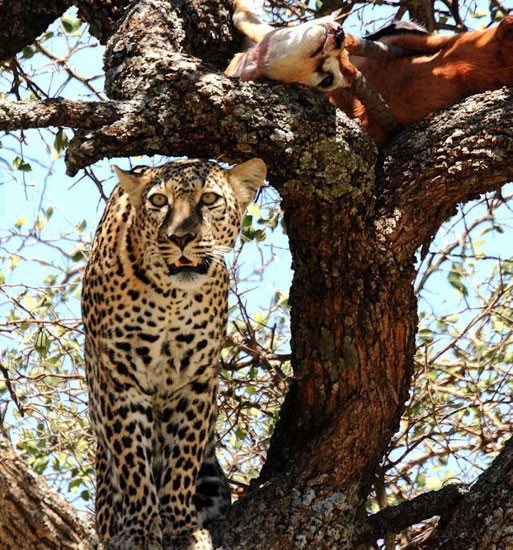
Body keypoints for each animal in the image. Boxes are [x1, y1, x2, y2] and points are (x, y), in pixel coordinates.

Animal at [82, 157, 266, 548]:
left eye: (209, 199)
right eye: (158, 202)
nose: (181, 238)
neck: (171, 297)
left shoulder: (195, 380)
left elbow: (184, 455)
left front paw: (181, 526)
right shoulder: (120, 376)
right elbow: (132, 459)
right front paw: (141, 528)